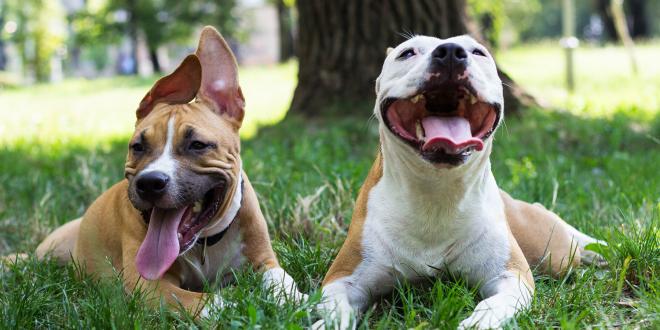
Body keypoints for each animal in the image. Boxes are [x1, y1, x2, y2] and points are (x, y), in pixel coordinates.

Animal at [5, 26, 304, 318]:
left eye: (197, 145)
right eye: (138, 146)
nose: (149, 183)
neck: (204, 244)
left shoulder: (264, 260)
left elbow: (280, 278)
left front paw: (298, 300)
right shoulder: (147, 284)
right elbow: (208, 302)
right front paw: (232, 303)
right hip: (50, 253)